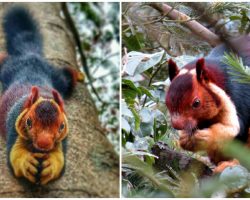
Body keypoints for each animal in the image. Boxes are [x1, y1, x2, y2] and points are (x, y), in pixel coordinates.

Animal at [166, 35, 250, 172]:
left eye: (196, 103)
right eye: (167, 101)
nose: (177, 125)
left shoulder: (238, 97)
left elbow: (234, 128)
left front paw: (206, 137)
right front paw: (185, 139)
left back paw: (231, 163)